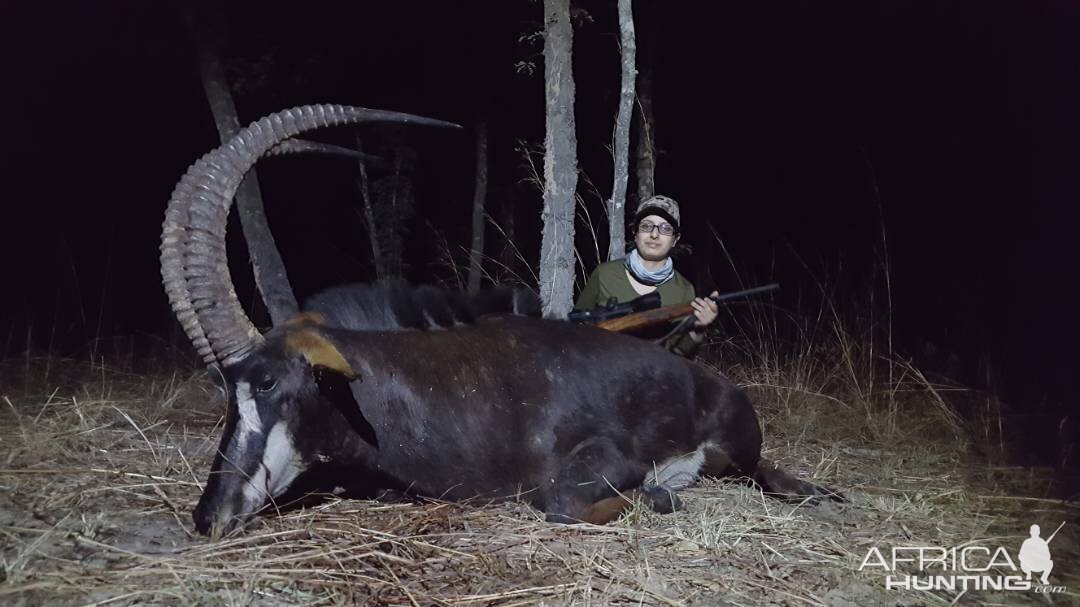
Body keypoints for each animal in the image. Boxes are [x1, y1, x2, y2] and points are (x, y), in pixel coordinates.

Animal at [159, 102, 838, 533]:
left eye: (269, 382)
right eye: (226, 393)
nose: (207, 517)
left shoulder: (599, 462)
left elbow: (560, 502)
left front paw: (658, 492)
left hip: (736, 452)